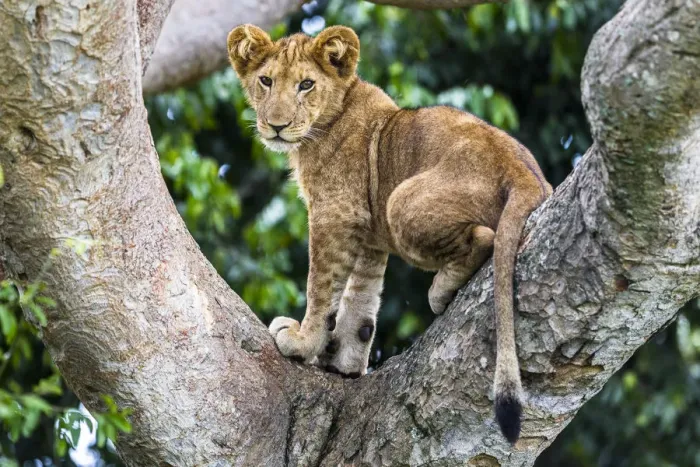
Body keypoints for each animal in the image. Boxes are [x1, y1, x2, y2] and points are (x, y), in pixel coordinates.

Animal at [227, 24, 552, 444]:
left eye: (306, 85)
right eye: (265, 81)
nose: (277, 126)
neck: (329, 119)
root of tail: (522, 169)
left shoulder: (335, 214)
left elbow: (322, 288)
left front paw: (302, 342)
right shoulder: (368, 233)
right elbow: (360, 299)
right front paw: (345, 362)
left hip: (400, 201)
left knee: (484, 237)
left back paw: (441, 291)